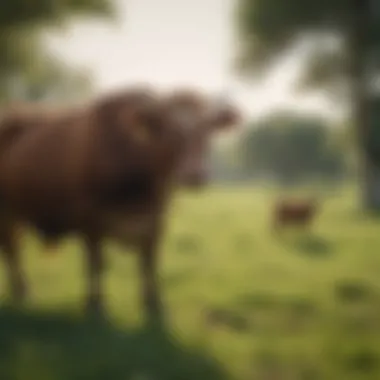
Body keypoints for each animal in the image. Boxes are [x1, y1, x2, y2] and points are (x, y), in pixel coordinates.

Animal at [0, 84, 242, 320]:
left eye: (207, 128)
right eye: (166, 128)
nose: (194, 174)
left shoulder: (155, 220)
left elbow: (148, 263)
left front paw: (154, 305)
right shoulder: (91, 221)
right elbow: (96, 264)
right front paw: (95, 305)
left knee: (14, 246)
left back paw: (22, 291)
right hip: (7, 211)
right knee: (11, 248)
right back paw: (22, 291)